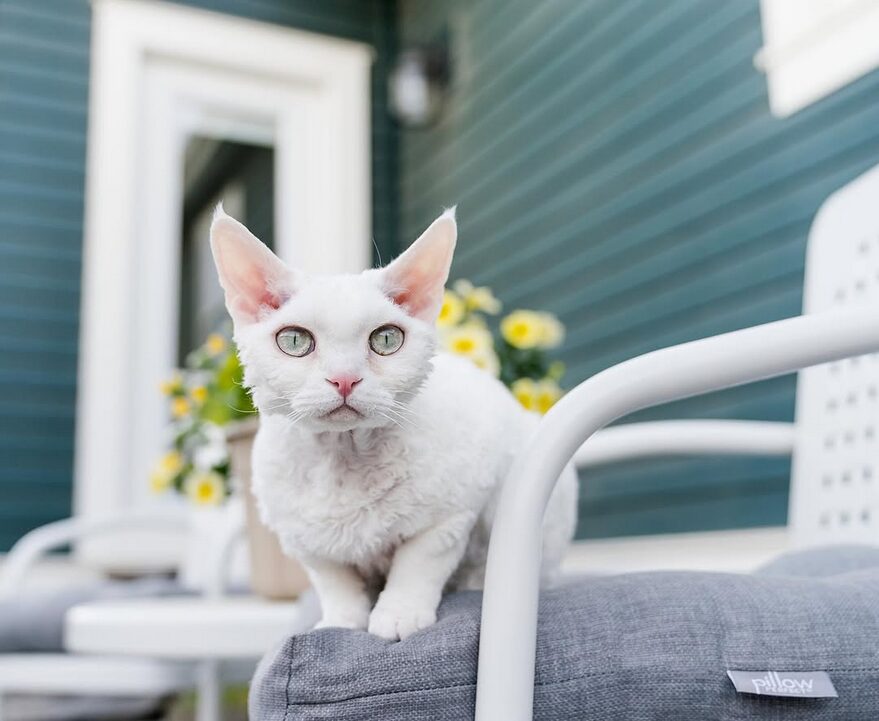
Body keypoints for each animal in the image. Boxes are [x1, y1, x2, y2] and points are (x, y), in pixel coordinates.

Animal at [207, 205, 576, 640]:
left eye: (386, 340)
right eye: (295, 341)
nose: (344, 379)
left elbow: (416, 566)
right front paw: (340, 622)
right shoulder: (305, 542)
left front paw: (399, 616)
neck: (343, 460)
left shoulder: (450, 516)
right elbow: (335, 583)